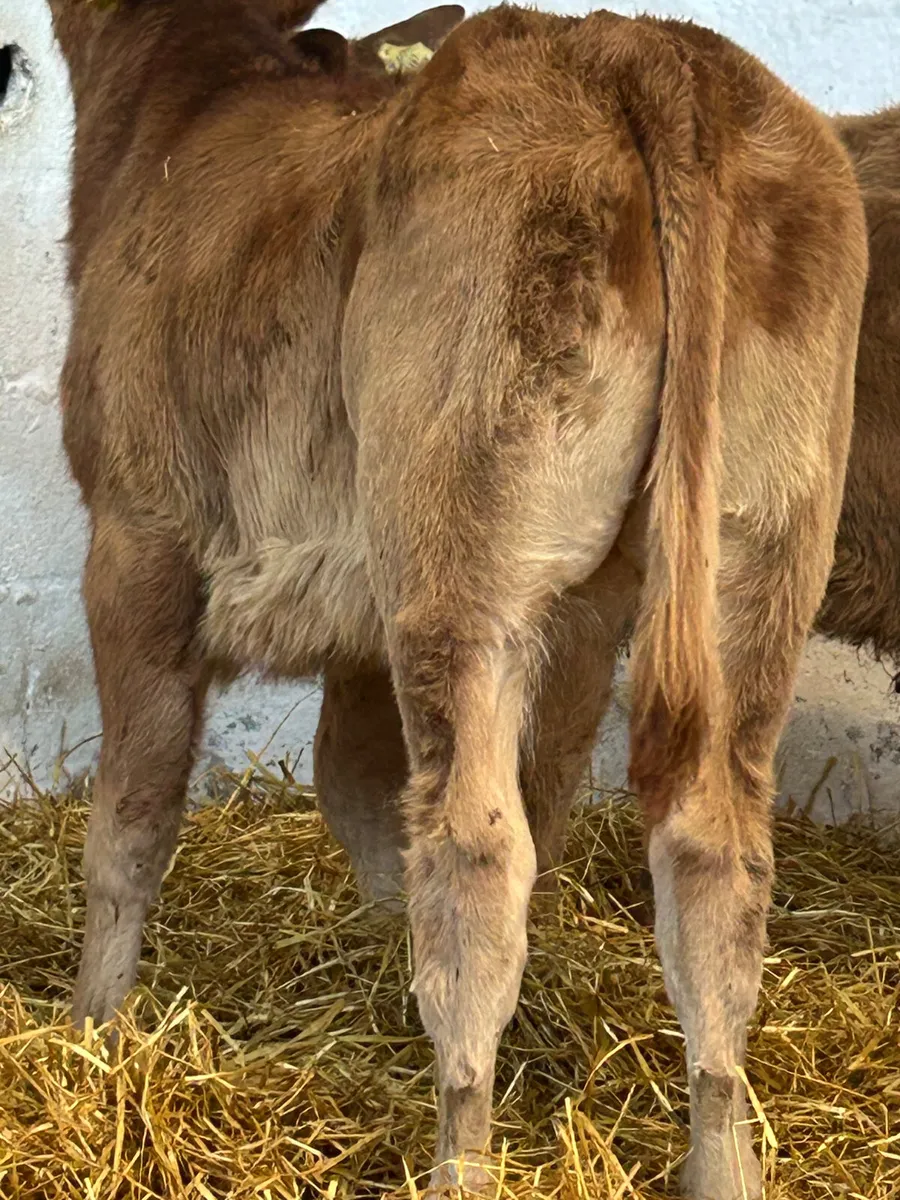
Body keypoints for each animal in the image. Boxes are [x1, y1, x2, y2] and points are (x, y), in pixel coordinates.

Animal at [49, 2, 868, 1196]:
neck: (182, 106)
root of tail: (644, 48)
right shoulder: (359, 626)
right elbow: (351, 784)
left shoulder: (137, 534)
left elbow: (132, 816)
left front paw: (93, 1029)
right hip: (752, 551)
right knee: (710, 848)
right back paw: (720, 1161)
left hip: (457, 552)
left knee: (479, 853)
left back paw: (462, 1158)